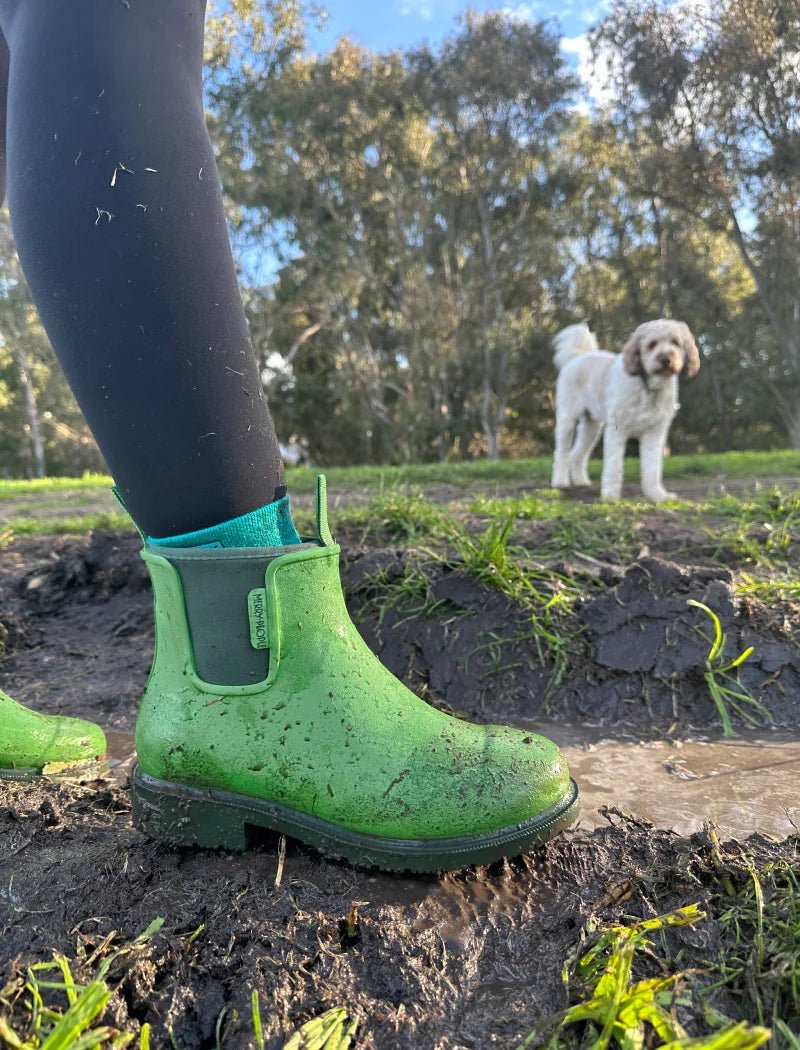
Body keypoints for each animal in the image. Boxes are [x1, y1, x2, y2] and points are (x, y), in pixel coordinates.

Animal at [550, 317, 697, 501]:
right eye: (652, 344)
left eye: (675, 342)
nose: (665, 359)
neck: (649, 387)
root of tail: (577, 356)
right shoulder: (617, 431)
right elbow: (614, 467)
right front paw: (610, 497)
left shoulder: (654, 434)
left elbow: (652, 468)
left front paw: (657, 495)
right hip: (567, 421)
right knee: (561, 453)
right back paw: (560, 482)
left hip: (592, 427)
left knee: (576, 455)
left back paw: (580, 481)